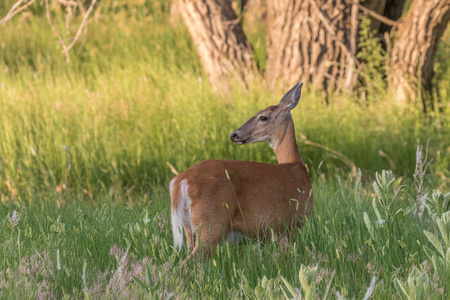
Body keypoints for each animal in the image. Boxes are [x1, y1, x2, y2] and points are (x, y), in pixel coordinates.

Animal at [169, 82, 312, 262]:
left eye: (263, 117)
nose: (234, 134)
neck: (297, 165)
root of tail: (179, 181)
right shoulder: (293, 223)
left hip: (189, 228)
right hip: (212, 224)